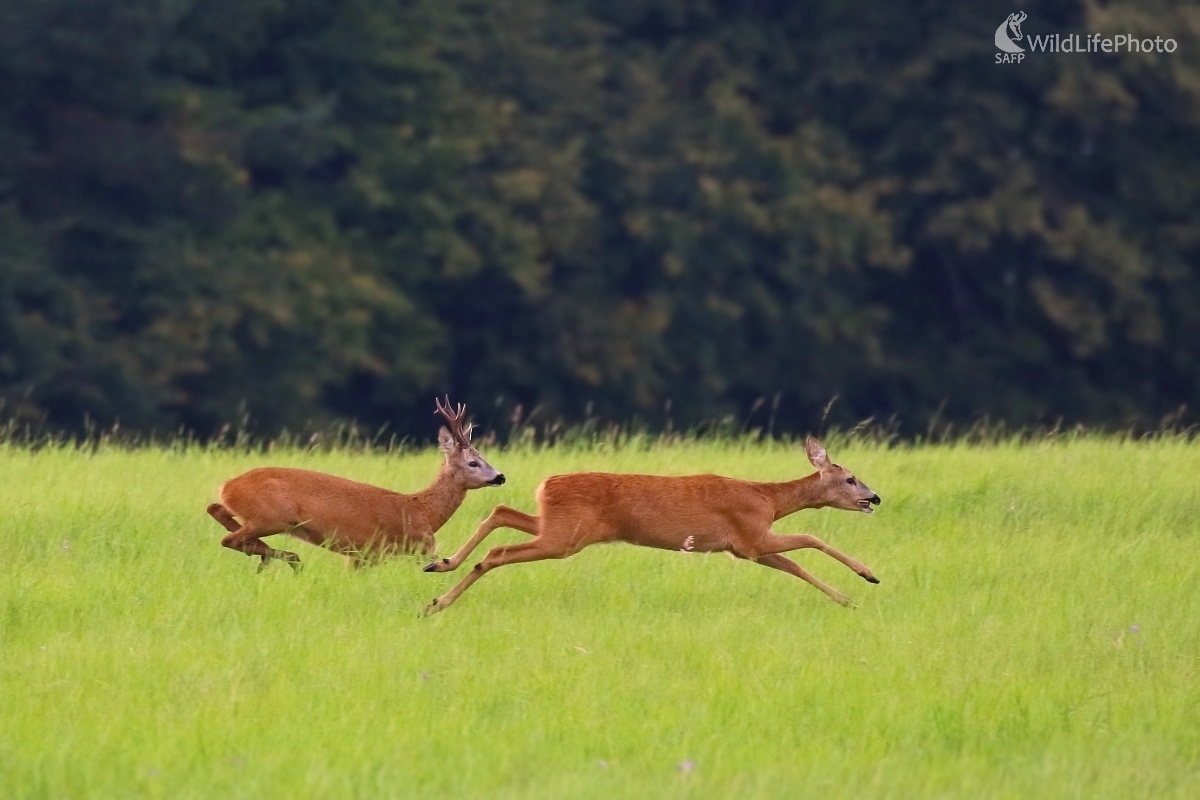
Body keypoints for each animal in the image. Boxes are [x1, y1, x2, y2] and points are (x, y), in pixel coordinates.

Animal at [208, 398, 504, 568]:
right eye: (473, 462)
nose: (500, 476)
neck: (423, 511)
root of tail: (228, 486)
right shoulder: (417, 547)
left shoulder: (362, 556)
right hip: (272, 517)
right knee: (229, 537)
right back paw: (286, 558)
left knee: (217, 512)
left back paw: (273, 555)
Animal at [422, 438, 883, 614]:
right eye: (850, 478)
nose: (875, 497)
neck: (767, 500)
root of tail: (545, 484)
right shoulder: (752, 534)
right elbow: (810, 537)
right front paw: (869, 575)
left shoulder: (747, 548)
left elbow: (797, 566)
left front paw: (847, 600)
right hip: (565, 537)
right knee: (499, 551)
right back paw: (439, 600)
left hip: (556, 525)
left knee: (500, 511)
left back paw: (438, 572)